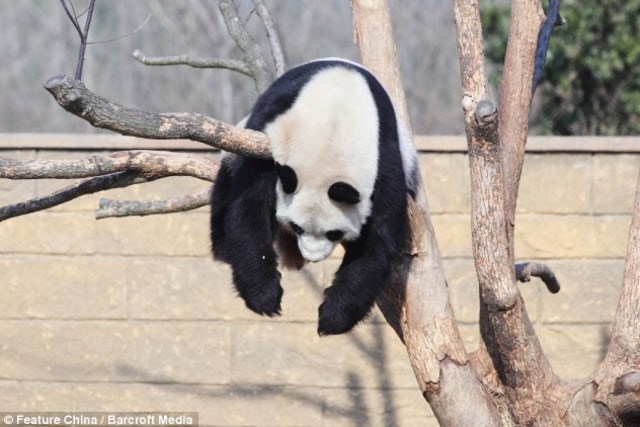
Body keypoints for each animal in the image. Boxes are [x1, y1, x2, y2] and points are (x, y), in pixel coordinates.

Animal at [210, 58, 418, 335]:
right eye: (296, 227)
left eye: (334, 233)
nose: (311, 256)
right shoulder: (269, 142)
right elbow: (249, 207)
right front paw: (265, 296)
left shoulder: (383, 159)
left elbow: (376, 240)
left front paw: (333, 317)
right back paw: (223, 248)